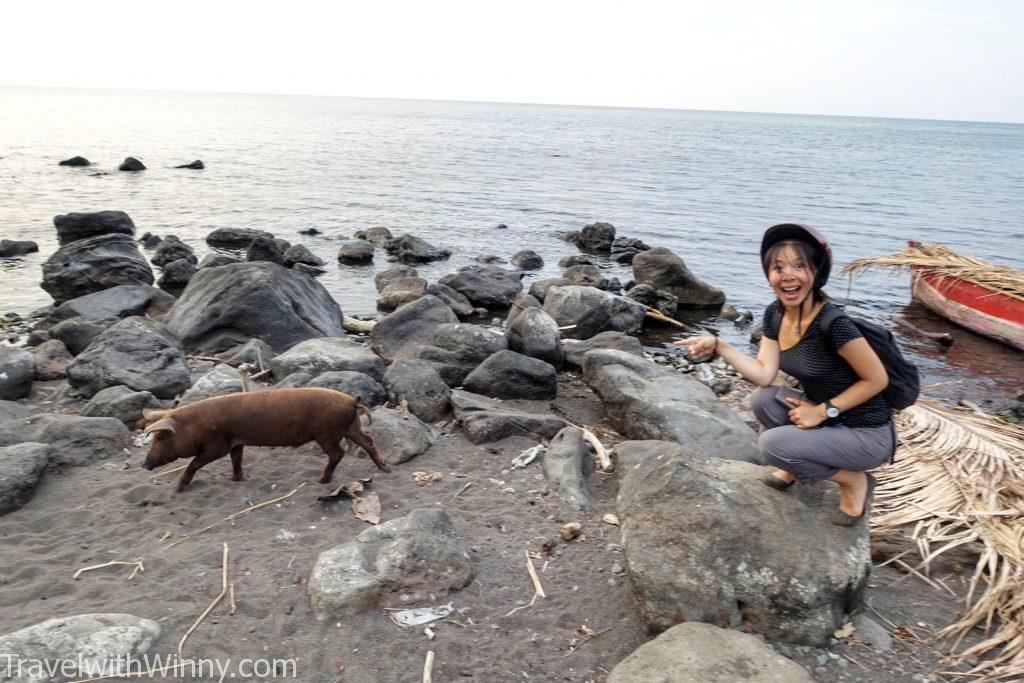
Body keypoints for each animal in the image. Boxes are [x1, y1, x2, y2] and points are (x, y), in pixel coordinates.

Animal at [140, 387, 387, 489]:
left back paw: (321, 481)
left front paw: (179, 486)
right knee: (368, 440)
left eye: (159, 438)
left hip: (326, 433)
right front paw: (236, 480)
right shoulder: (236, 443)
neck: (194, 426)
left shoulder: (217, 446)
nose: (143, 464)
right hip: (351, 428)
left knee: (338, 453)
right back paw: (385, 468)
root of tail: (351, 401)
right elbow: (237, 460)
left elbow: (195, 462)